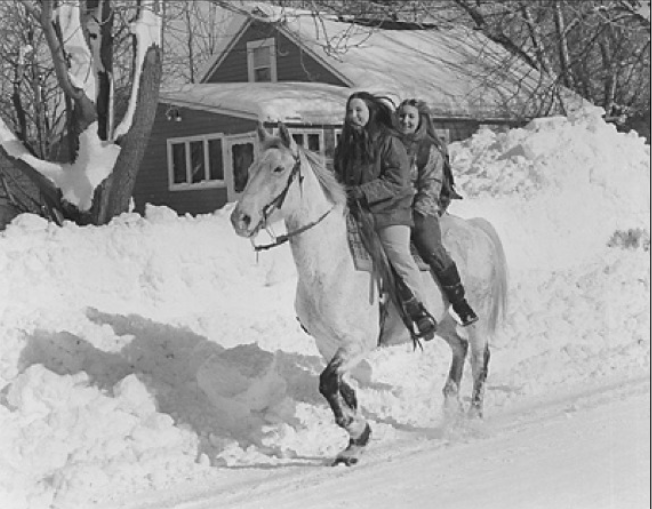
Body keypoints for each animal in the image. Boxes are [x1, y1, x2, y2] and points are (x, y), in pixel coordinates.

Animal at [230, 123, 510, 464]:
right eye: (250, 169)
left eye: (278, 168)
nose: (240, 218)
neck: (330, 266)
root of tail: (476, 228)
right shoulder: (327, 344)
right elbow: (341, 388)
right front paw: (355, 442)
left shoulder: (357, 343)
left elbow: (328, 383)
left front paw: (356, 430)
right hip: (440, 319)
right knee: (460, 345)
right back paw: (449, 404)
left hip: (477, 312)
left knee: (480, 356)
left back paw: (473, 417)